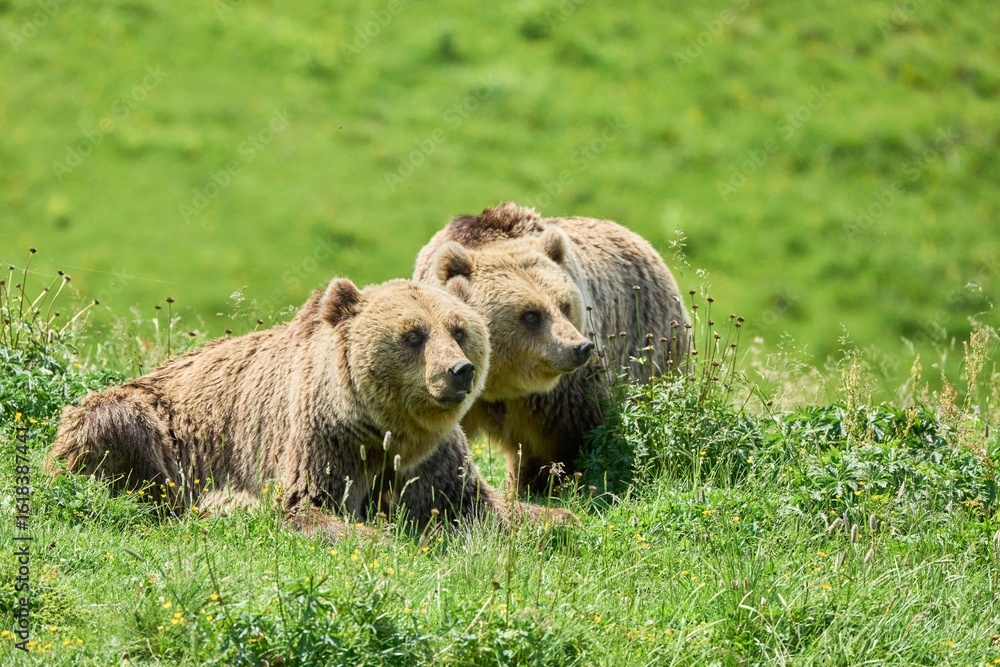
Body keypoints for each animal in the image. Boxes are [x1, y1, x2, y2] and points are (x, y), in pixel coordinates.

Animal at [47, 277, 573, 539]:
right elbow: (309, 505)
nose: (458, 370)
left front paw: (556, 520)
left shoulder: (434, 457)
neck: (388, 429)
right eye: (413, 334)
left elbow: (480, 503)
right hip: (144, 421)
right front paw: (378, 536)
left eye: (459, 329)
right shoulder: (323, 436)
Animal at [414, 203, 689, 493]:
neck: (500, 382)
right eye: (531, 314)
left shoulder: (560, 393)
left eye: (564, 306)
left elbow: (577, 433)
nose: (581, 347)